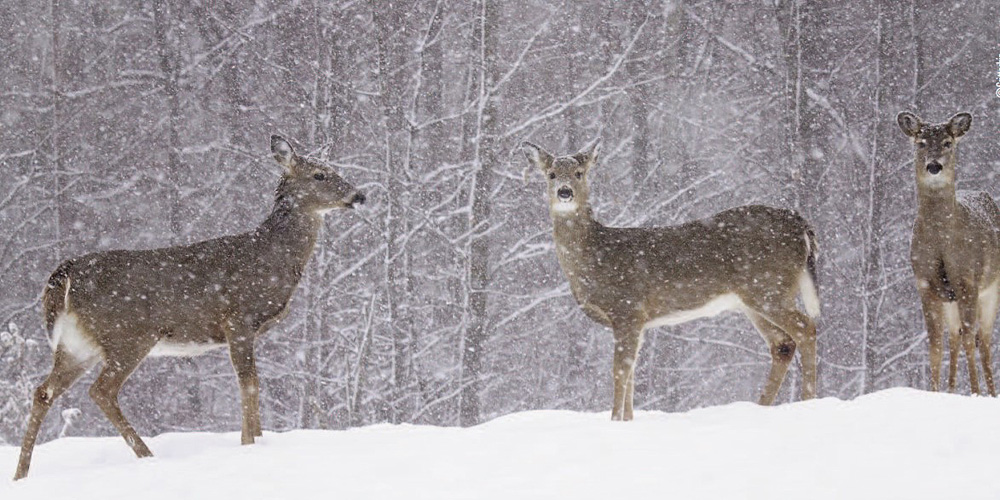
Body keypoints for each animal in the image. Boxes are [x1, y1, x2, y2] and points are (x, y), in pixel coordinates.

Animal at [12, 135, 368, 478]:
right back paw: (147, 456)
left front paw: (254, 441)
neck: (270, 259)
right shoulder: (237, 318)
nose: (359, 195)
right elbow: (249, 383)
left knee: (43, 391)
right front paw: (249, 444)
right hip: (129, 335)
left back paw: (21, 474)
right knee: (101, 390)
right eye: (320, 174)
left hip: (77, 344)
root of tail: (66, 272)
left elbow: (252, 383)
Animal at [524, 141, 820, 422]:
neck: (595, 259)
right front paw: (627, 420)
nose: (564, 192)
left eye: (579, 173)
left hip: (769, 288)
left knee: (806, 327)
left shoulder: (627, 307)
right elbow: (632, 371)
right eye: (551, 174)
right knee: (782, 344)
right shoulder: (639, 321)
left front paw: (615, 420)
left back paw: (808, 402)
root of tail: (800, 224)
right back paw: (762, 407)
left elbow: (620, 370)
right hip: (753, 299)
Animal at [896, 111, 996, 396]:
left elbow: (971, 338)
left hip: (990, 290)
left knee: (983, 339)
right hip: (951, 299)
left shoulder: (968, 280)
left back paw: (990, 392)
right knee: (955, 337)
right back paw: (951, 390)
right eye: (920, 143)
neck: (941, 243)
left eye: (948, 143)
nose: (934, 166)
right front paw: (934, 391)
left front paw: (974, 392)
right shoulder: (925, 283)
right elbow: (935, 343)